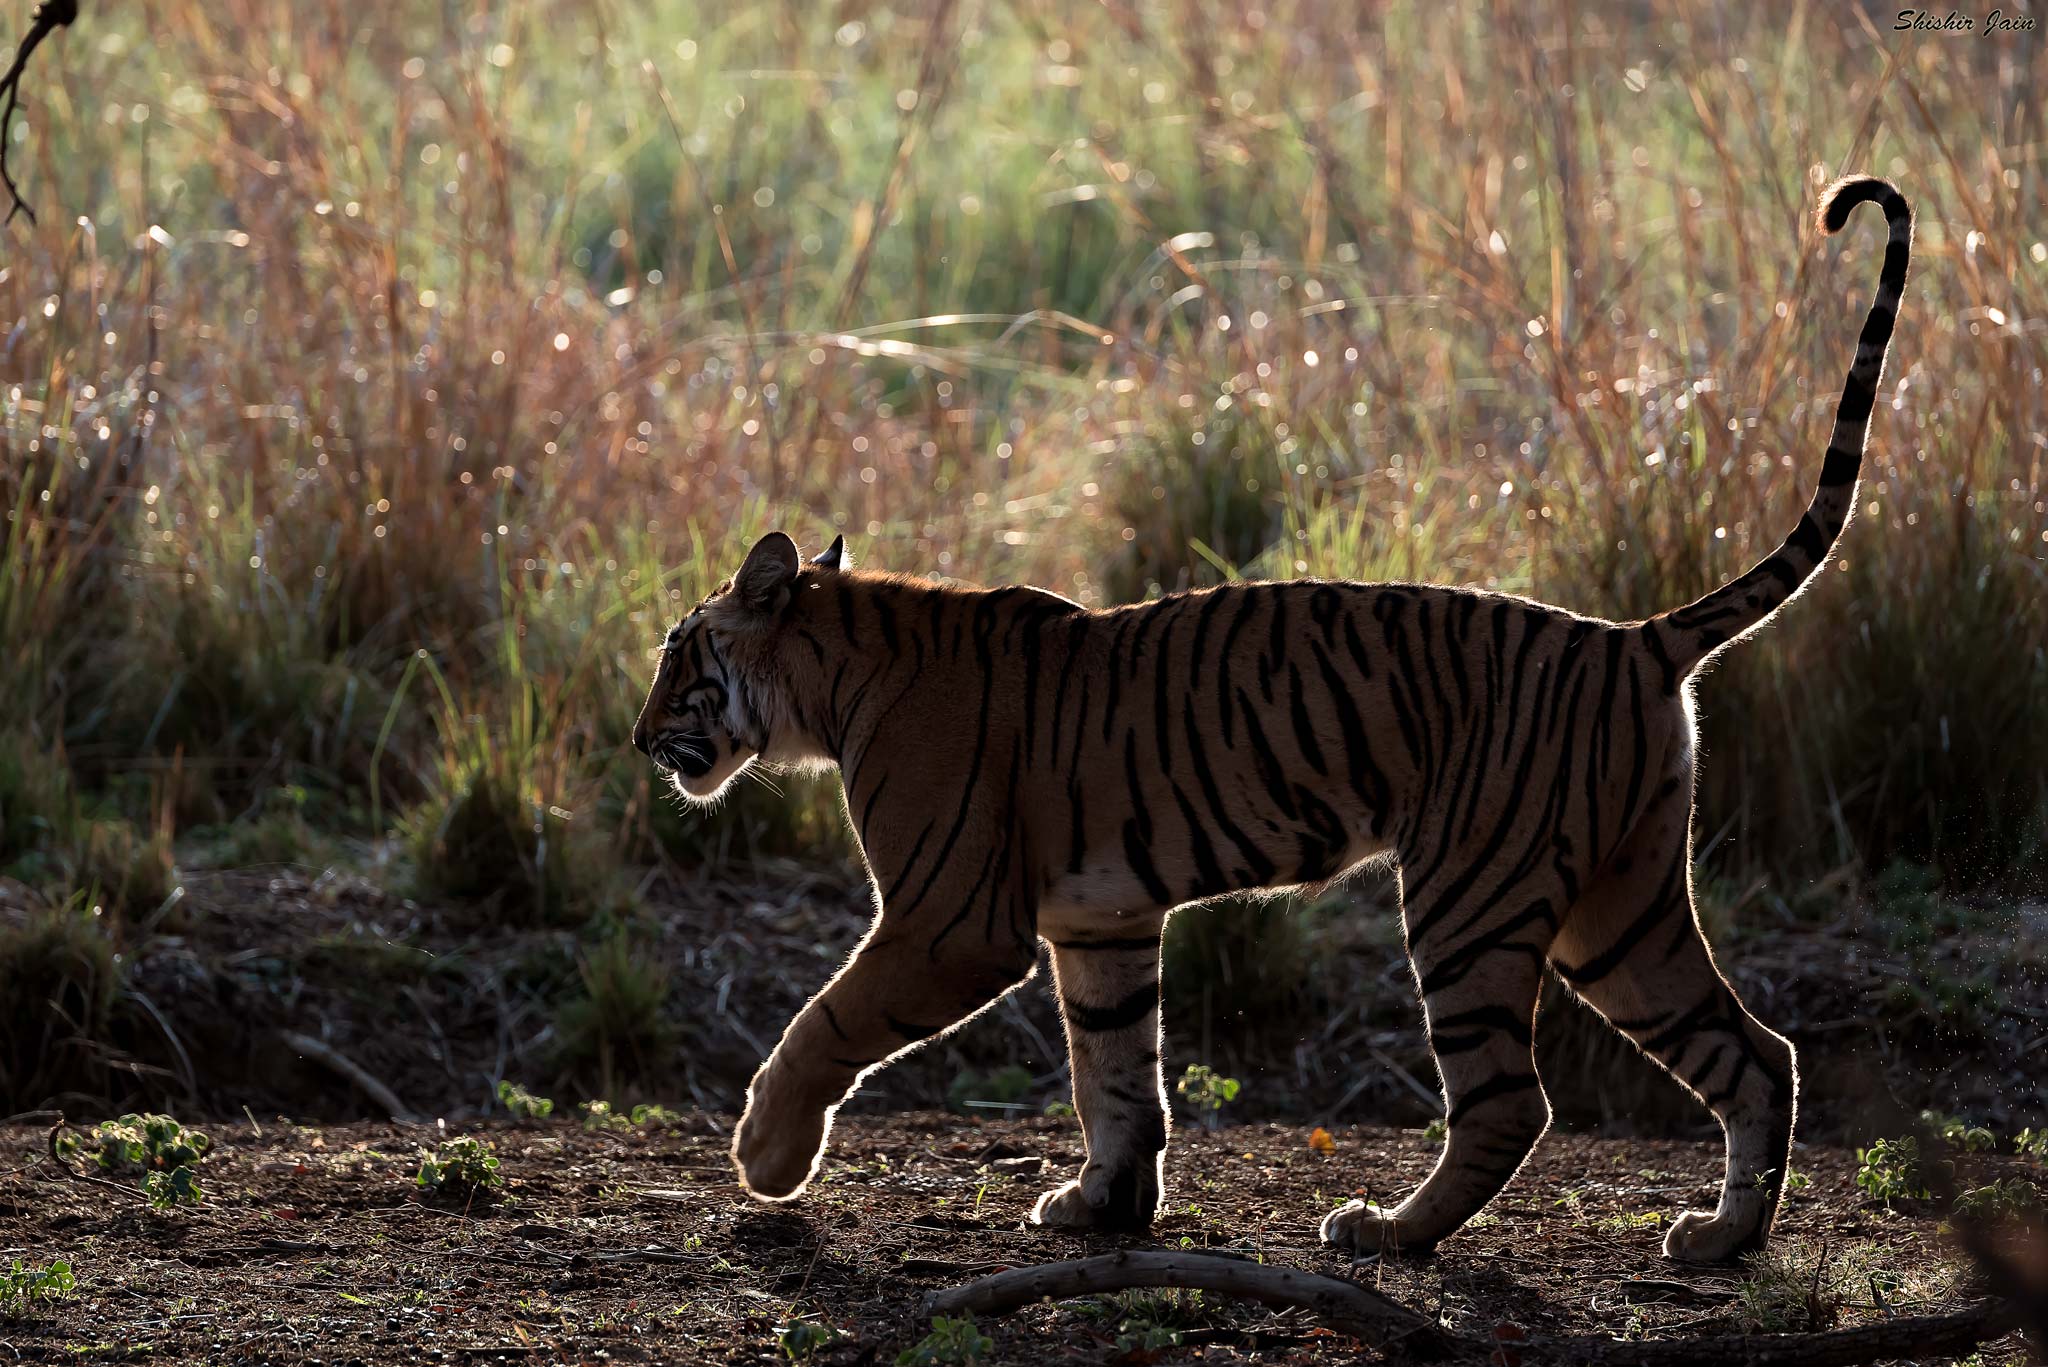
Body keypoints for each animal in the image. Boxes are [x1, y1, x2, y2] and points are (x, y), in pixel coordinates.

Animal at [630, 176, 1908, 1270]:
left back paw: (1386, 1229)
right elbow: (1114, 1071)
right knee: (1755, 1052)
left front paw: (765, 1155)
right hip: (1621, 904)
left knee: (1510, 1098)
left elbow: (828, 1019)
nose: (641, 739)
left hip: (1471, 895)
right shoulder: (1098, 921)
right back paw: (1718, 1236)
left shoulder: (952, 919)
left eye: (677, 658)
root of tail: (1630, 636)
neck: (831, 682)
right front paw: (1101, 1204)